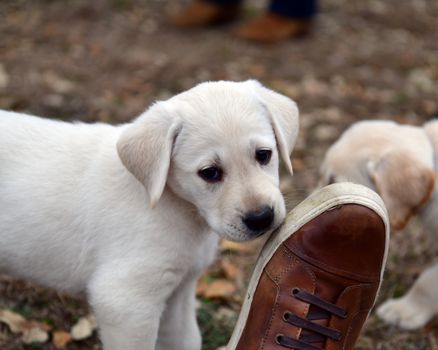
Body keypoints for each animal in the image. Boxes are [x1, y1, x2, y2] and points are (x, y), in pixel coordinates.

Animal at [0, 80, 300, 350]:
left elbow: (185, 342)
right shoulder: (126, 303)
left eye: (264, 155)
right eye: (210, 172)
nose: (261, 217)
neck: (176, 206)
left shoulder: (179, 293)